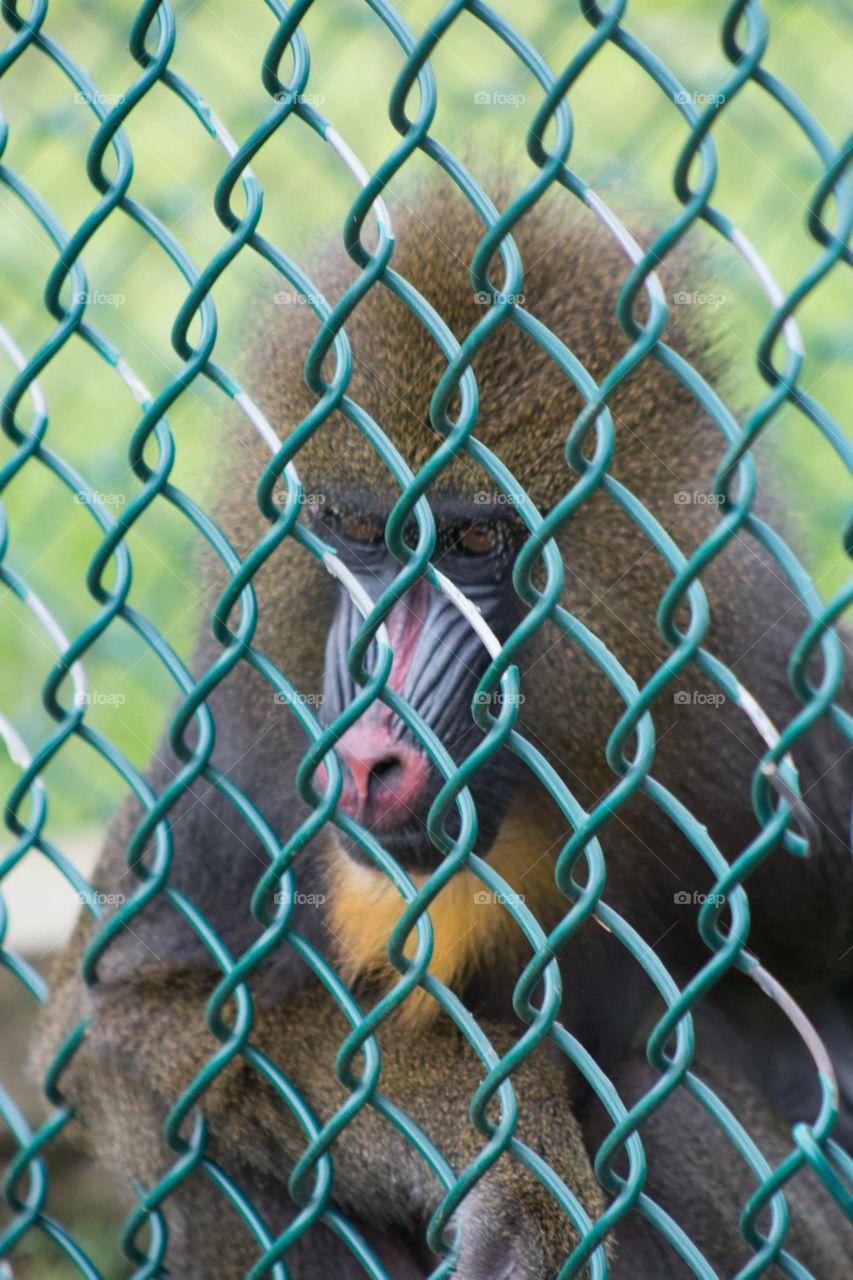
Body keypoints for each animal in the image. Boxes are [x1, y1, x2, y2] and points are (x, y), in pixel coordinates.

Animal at [31, 177, 853, 1277]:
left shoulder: (779, 727)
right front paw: (505, 1151)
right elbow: (126, 1011)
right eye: (356, 532)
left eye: (472, 543)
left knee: (663, 1088)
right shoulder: (227, 739)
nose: (366, 753)